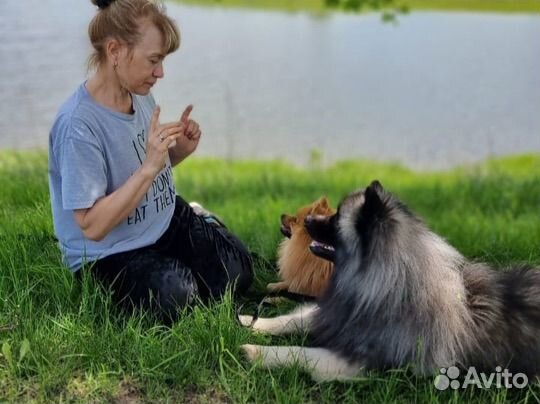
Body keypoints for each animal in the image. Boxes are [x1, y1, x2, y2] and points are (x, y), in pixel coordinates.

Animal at [239, 181, 540, 382]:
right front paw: (250, 321)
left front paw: (255, 352)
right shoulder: (343, 313)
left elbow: (298, 352)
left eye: (336, 219)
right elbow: (293, 319)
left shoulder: (362, 359)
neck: (392, 284)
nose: (308, 220)